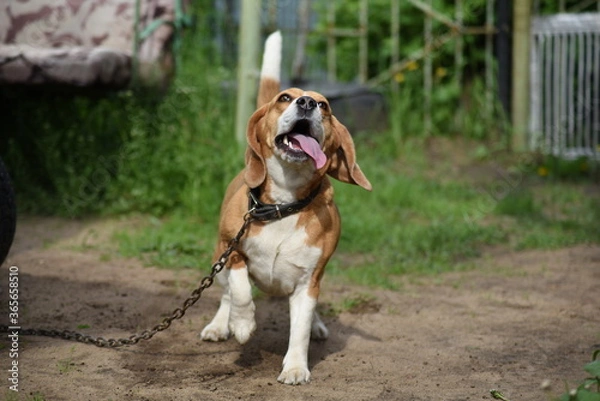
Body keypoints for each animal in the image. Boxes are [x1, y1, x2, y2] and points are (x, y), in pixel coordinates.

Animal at [202, 29, 370, 382]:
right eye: (284, 98)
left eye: (325, 105)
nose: (306, 102)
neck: (283, 205)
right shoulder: (232, 252)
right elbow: (240, 290)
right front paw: (242, 325)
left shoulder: (308, 282)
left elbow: (300, 330)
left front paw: (295, 367)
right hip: (217, 257)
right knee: (224, 293)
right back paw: (220, 324)